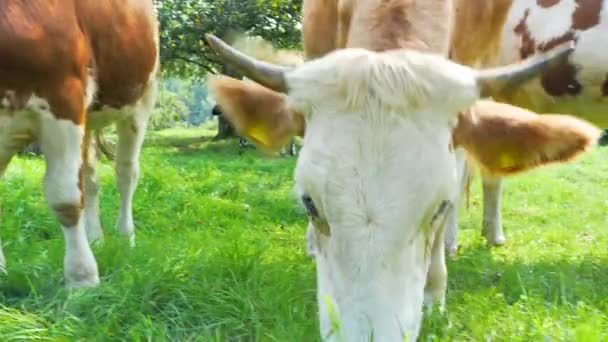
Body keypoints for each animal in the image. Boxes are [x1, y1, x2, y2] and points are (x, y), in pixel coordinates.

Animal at [0, 0, 159, 288]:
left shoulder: (64, 98)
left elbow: (65, 198)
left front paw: (82, 277)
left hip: (142, 98)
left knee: (126, 173)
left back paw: (125, 238)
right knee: (90, 178)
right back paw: (95, 239)